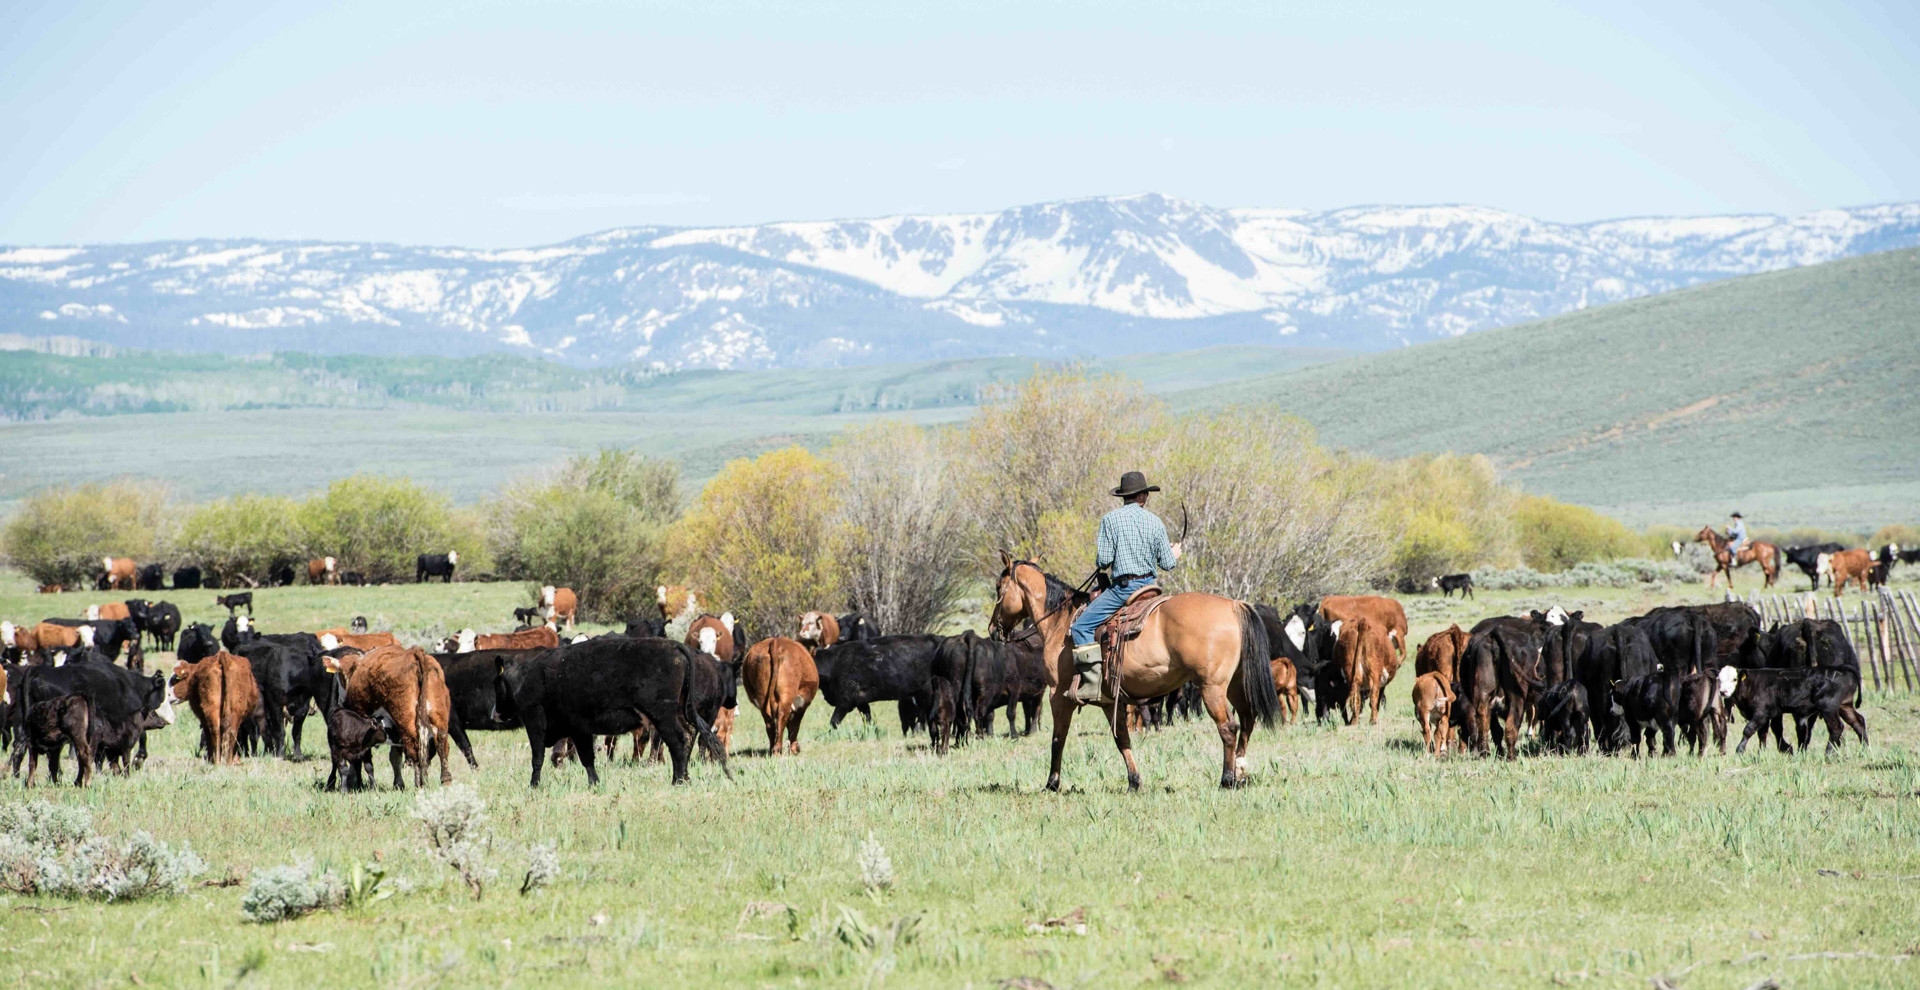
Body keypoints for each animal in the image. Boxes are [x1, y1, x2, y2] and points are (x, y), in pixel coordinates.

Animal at [325, 646, 455, 788]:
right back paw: (445, 780)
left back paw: (419, 784)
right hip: (438, 715)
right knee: (442, 744)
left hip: (405, 719)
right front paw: (398, 784)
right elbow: (395, 757)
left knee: (415, 748)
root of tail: (414, 653)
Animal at [492, 636, 728, 786]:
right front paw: (594, 784)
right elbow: (587, 758)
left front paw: (533, 785)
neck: (527, 677)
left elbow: (537, 757)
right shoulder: (579, 729)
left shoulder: (535, 722)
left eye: (496, 683)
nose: (494, 712)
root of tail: (675, 646)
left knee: (678, 740)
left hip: (663, 716)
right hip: (680, 712)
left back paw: (678, 781)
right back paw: (684, 777)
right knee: (689, 736)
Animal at [1726, 666, 1868, 754]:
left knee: (1836, 727)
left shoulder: (1763, 712)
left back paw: (1828, 753)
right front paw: (1764, 753)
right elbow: (1765, 732)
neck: (1752, 682)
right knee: (1858, 722)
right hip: (1845, 706)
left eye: (1734, 679)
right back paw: (1864, 749)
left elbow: (1749, 730)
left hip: (1829, 707)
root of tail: (1843, 669)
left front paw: (1740, 750)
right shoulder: (1769, 714)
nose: (1723, 691)